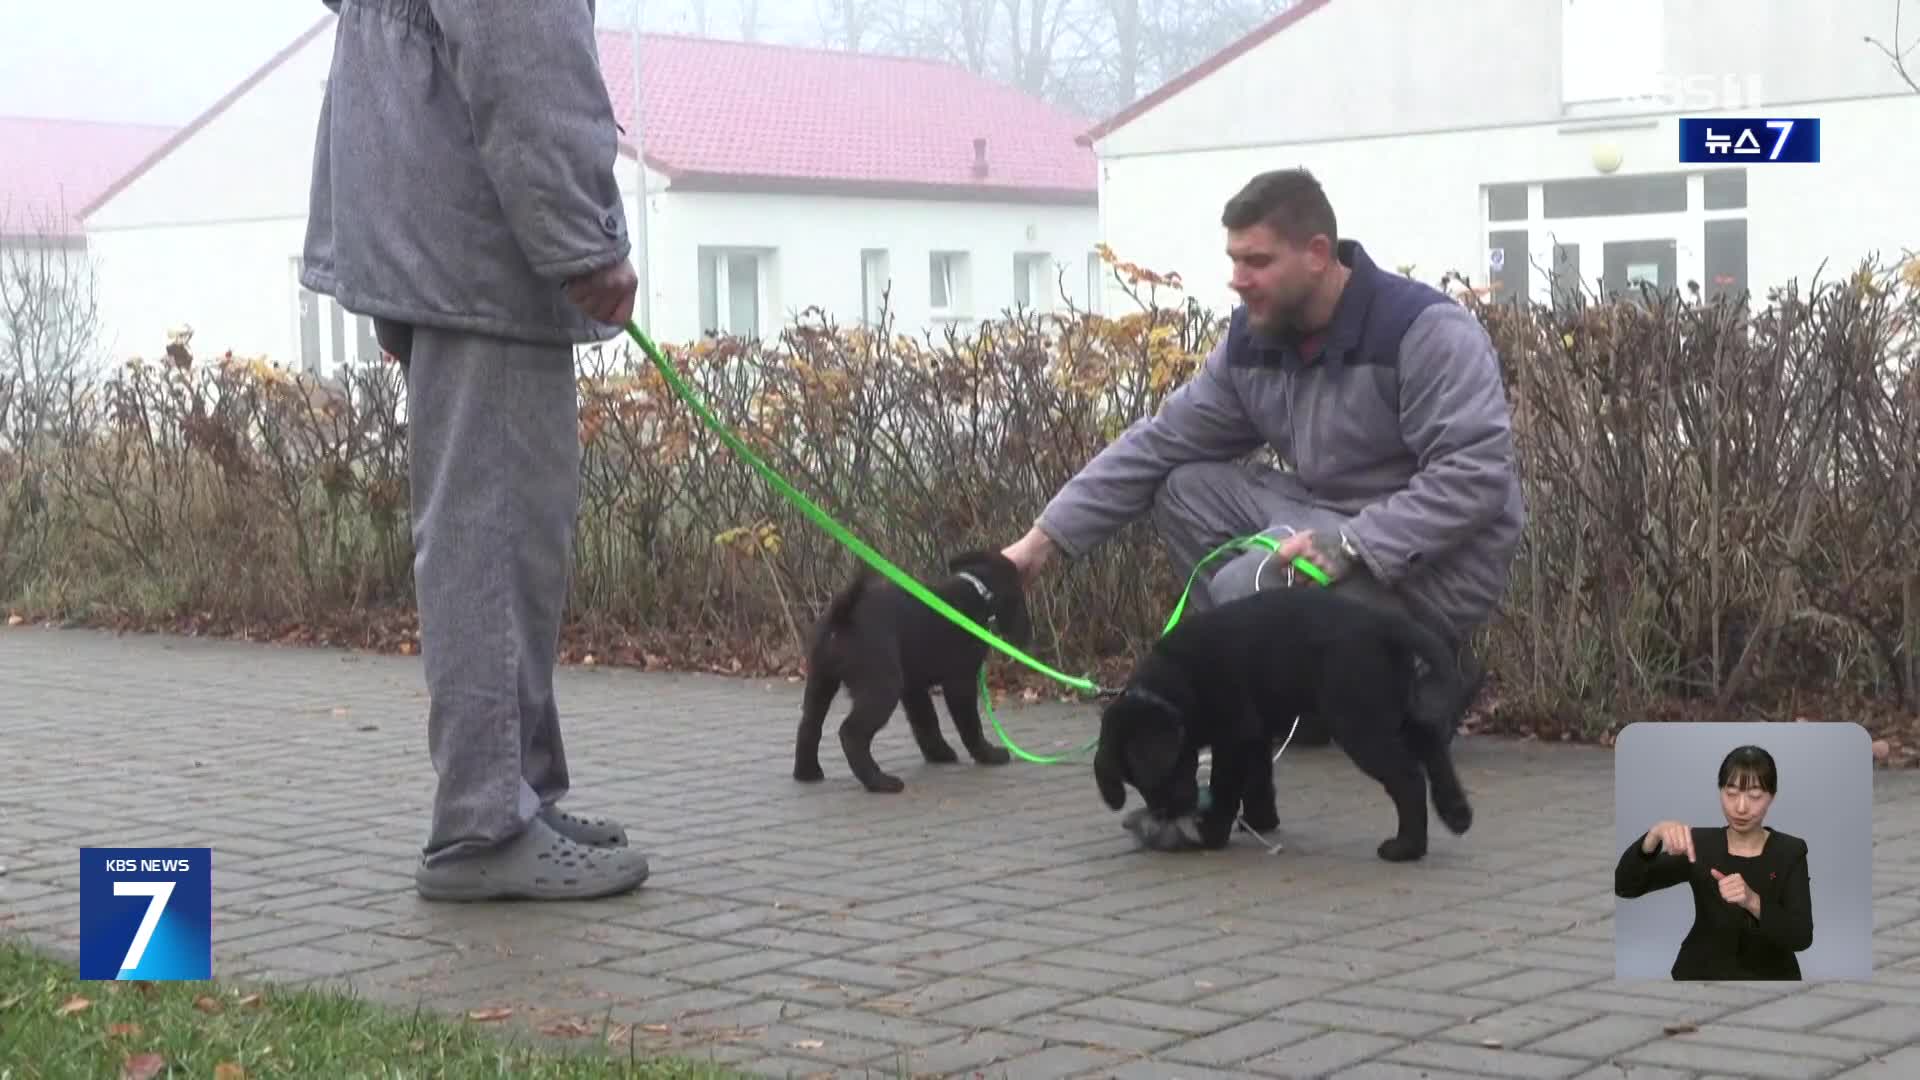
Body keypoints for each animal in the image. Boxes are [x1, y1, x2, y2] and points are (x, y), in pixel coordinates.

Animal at [794, 545, 1036, 791]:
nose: (1027, 634)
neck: (976, 591)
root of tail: (843, 617)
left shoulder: (913, 687)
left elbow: (926, 721)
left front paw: (939, 753)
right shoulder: (960, 682)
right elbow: (970, 725)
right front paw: (987, 754)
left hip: (821, 680)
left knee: (809, 725)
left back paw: (807, 772)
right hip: (882, 687)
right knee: (851, 733)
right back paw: (879, 782)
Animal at [1098, 580, 1466, 857]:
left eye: (1153, 776)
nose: (1168, 814)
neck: (1176, 684)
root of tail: (1382, 624)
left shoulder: (1234, 736)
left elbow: (1226, 786)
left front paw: (1212, 832)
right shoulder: (1255, 733)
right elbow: (1260, 779)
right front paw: (1261, 820)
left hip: (1358, 722)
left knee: (1408, 777)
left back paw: (1407, 847)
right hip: (1391, 707)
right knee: (1431, 741)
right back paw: (1457, 814)